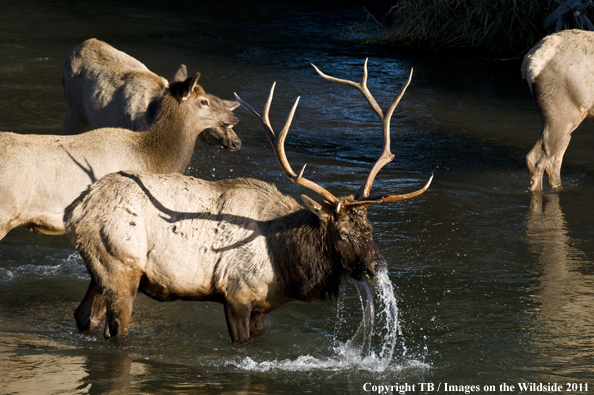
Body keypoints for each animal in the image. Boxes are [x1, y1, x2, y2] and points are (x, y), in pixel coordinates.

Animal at [63, 60, 430, 344]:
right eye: (342, 233)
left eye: (370, 229)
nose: (378, 266)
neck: (286, 262)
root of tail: (77, 210)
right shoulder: (236, 294)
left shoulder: (262, 306)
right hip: (121, 268)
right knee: (115, 331)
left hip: (102, 271)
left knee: (83, 316)